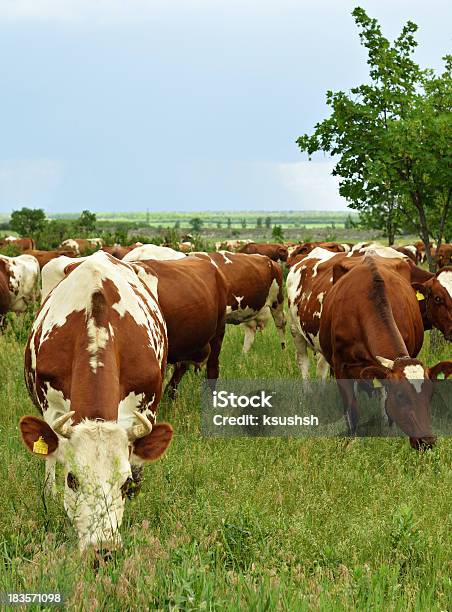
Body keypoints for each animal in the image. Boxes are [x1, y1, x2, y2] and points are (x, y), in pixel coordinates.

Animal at [318, 253, 452, 450]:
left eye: (431, 394)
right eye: (401, 395)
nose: (426, 441)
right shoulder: (340, 367)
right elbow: (352, 410)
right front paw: (350, 444)